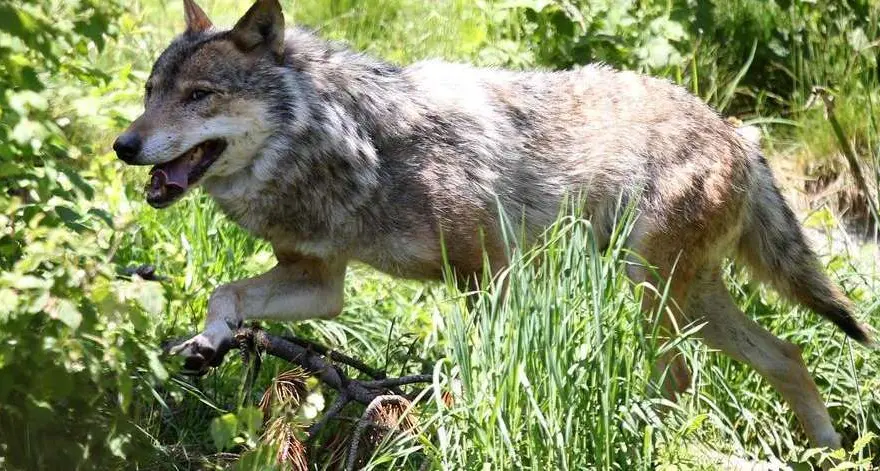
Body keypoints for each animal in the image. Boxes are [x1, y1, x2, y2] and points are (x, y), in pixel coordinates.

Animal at [114, 0, 873, 450]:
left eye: (199, 96)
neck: (355, 146)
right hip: (692, 300)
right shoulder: (322, 282)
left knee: (685, 377)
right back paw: (831, 451)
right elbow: (226, 294)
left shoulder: (491, 274)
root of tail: (737, 133)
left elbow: (481, 367)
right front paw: (208, 343)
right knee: (787, 354)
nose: (124, 145)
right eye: (150, 92)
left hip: (653, 296)